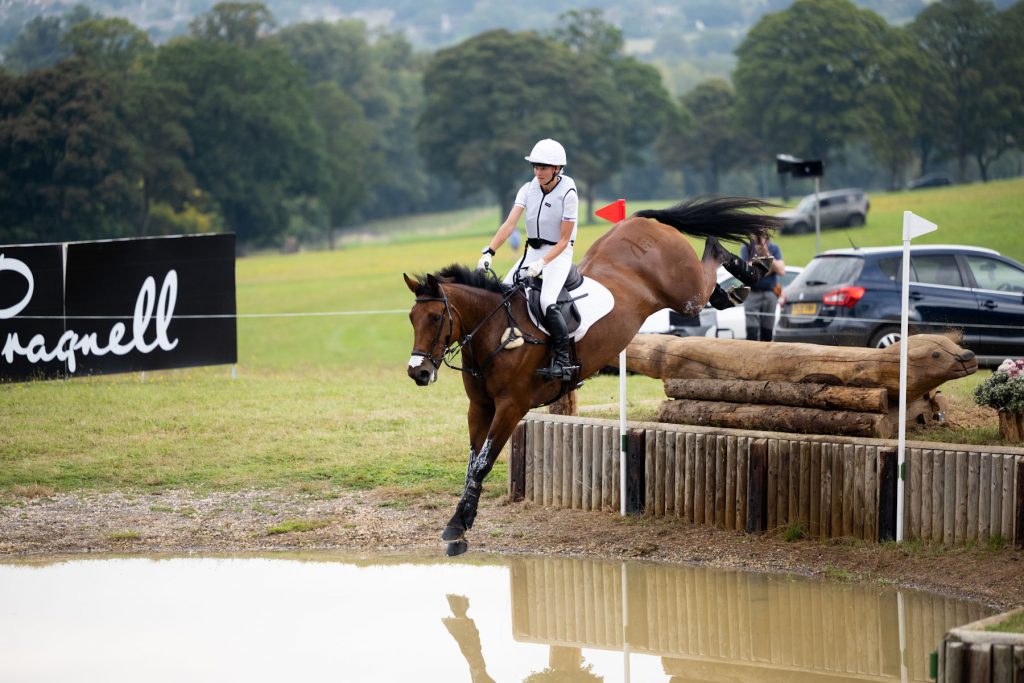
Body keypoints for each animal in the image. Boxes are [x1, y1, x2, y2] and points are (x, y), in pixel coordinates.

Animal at [404, 195, 784, 556]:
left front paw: (457, 526)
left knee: (712, 255)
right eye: (411, 318)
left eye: (436, 318)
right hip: (685, 294)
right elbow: (473, 464)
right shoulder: (480, 407)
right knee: (713, 287)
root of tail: (641, 221)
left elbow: (483, 463)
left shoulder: (511, 406)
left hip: (684, 292)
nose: (418, 372)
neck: (496, 329)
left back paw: (753, 269)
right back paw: (737, 287)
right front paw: (460, 525)